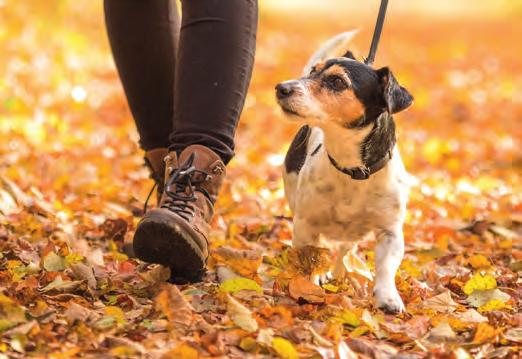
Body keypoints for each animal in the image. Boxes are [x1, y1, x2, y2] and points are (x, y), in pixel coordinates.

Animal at [274, 33, 412, 316]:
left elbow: (385, 267)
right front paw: (308, 285)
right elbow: (309, 256)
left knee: (346, 248)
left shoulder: (391, 232)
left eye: (338, 81)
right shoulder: (305, 224)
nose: (282, 87)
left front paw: (388, 296)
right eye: (313, 72)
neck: (352, 171)